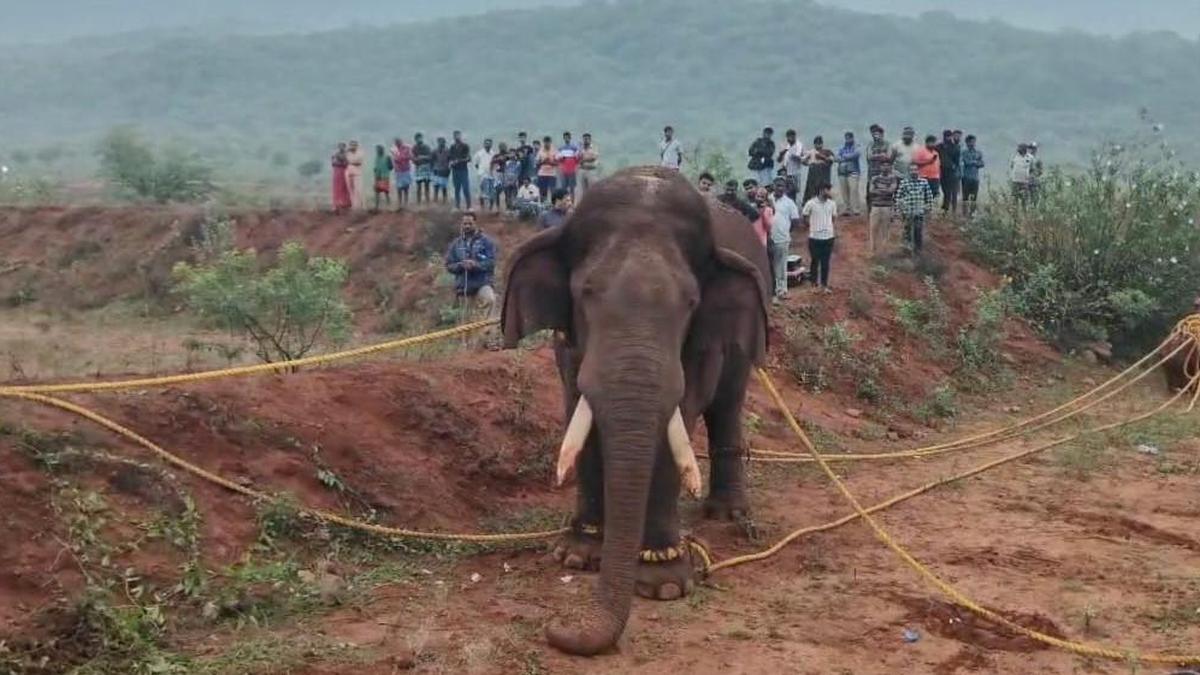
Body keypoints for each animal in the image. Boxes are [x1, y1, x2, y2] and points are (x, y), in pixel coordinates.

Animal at [501, 166, 771, 656]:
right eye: (585, 292)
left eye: (690, 302)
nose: (555, 628)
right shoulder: (568, 341)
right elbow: (578, 408)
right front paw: (577, 555)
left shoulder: (701, 339)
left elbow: (678, 416)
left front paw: (664, 583)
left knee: (728, 405)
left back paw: (727, 515)